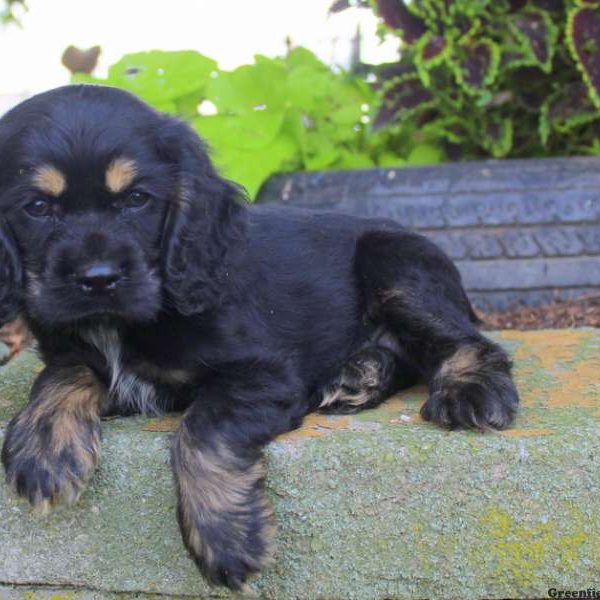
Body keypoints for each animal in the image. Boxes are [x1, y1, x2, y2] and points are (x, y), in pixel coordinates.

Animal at [0, 84, 516, 592]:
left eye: (138, 199)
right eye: (38, 208)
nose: (98, 279)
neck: (121, 323)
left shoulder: (265, 374)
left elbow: (202, 429)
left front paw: (226, 537)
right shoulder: (78, 352)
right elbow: (64, 371)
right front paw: (44, 446)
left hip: (394, 262)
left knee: (466, 341)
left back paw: (467, 390)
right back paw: (359, 375)